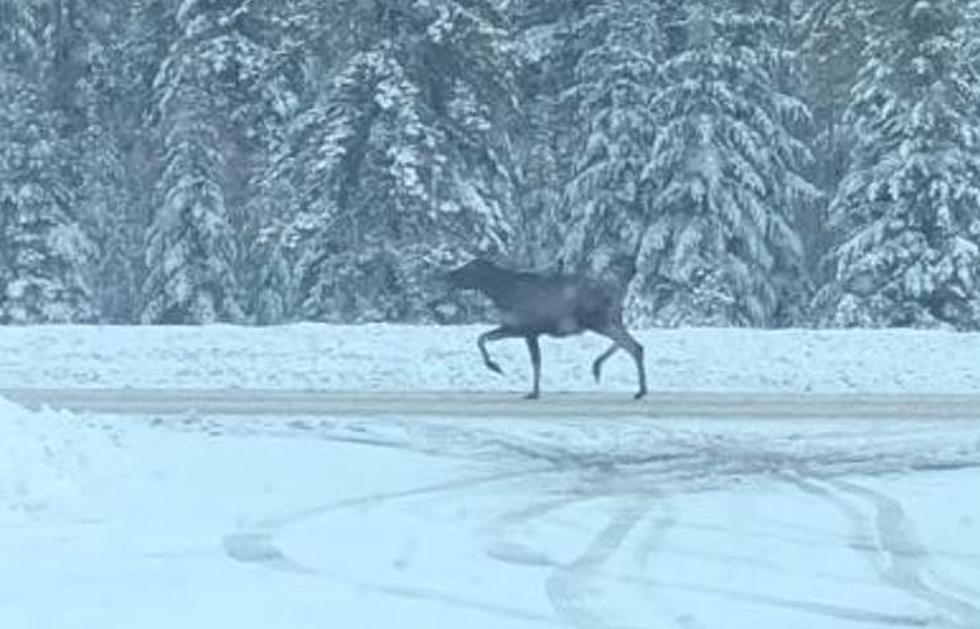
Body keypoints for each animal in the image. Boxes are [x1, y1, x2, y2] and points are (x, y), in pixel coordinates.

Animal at [446, 258, 648, 398]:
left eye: (469, 268)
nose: (450, 274)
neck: (500, 293)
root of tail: (618, 292)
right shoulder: (515, 328)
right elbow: (481, 338)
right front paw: (495, 366)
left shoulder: (528, 330)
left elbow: (536, 361)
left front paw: (534, 392)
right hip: (610, 320)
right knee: (630, 343)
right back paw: (601, 369)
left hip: (598, 320)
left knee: (633, 346)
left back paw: (639, 389)